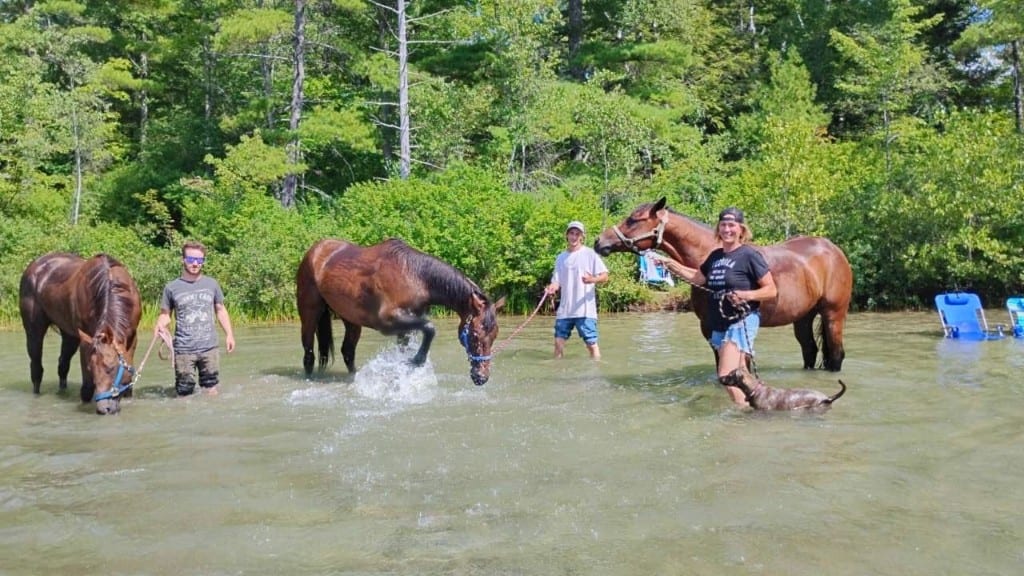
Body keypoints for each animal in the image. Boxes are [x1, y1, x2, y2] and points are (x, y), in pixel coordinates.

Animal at [19, 253, 143, 414]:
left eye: (111, 368)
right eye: (91, 368)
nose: (104, 409)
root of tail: (34, 266)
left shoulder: (132, 339)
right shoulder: (86, 342)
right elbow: (87, 388)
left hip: (69, 336)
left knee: (62, 365)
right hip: (34, 332)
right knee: (36, 369)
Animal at [296, 238, 506, 385]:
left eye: (495, 335)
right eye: (475, 334)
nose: (481, 377)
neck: (414, 275)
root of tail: (316, 249)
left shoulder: (405, 327)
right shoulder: (387, 322)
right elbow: (430, 328)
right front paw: (417, 361)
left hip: (351, 320)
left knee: (347, 351)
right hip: (309, 313)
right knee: (309, 354)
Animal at [594, 198, 852, 371]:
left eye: (633, 220)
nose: (599, 242)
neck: (708, 257)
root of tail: (834, 250)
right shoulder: (710, 328)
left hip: (833, 315)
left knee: (836, 355)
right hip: (803, 317)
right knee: (809, 351)